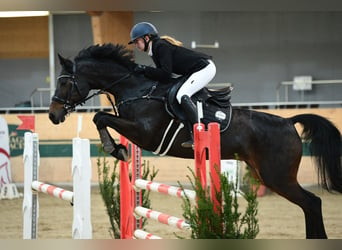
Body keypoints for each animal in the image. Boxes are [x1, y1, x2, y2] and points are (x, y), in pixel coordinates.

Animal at [48, 43, 342, 238]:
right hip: (266, 173)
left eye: (64, 83)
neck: (137, 89)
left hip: (277, 176)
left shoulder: (145, 133)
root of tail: (289, 121)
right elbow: (102, 118)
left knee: (312, 203)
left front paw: (116, 149)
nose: (52, 115)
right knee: (309, 205)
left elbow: (100, 117)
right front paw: (118, 149)